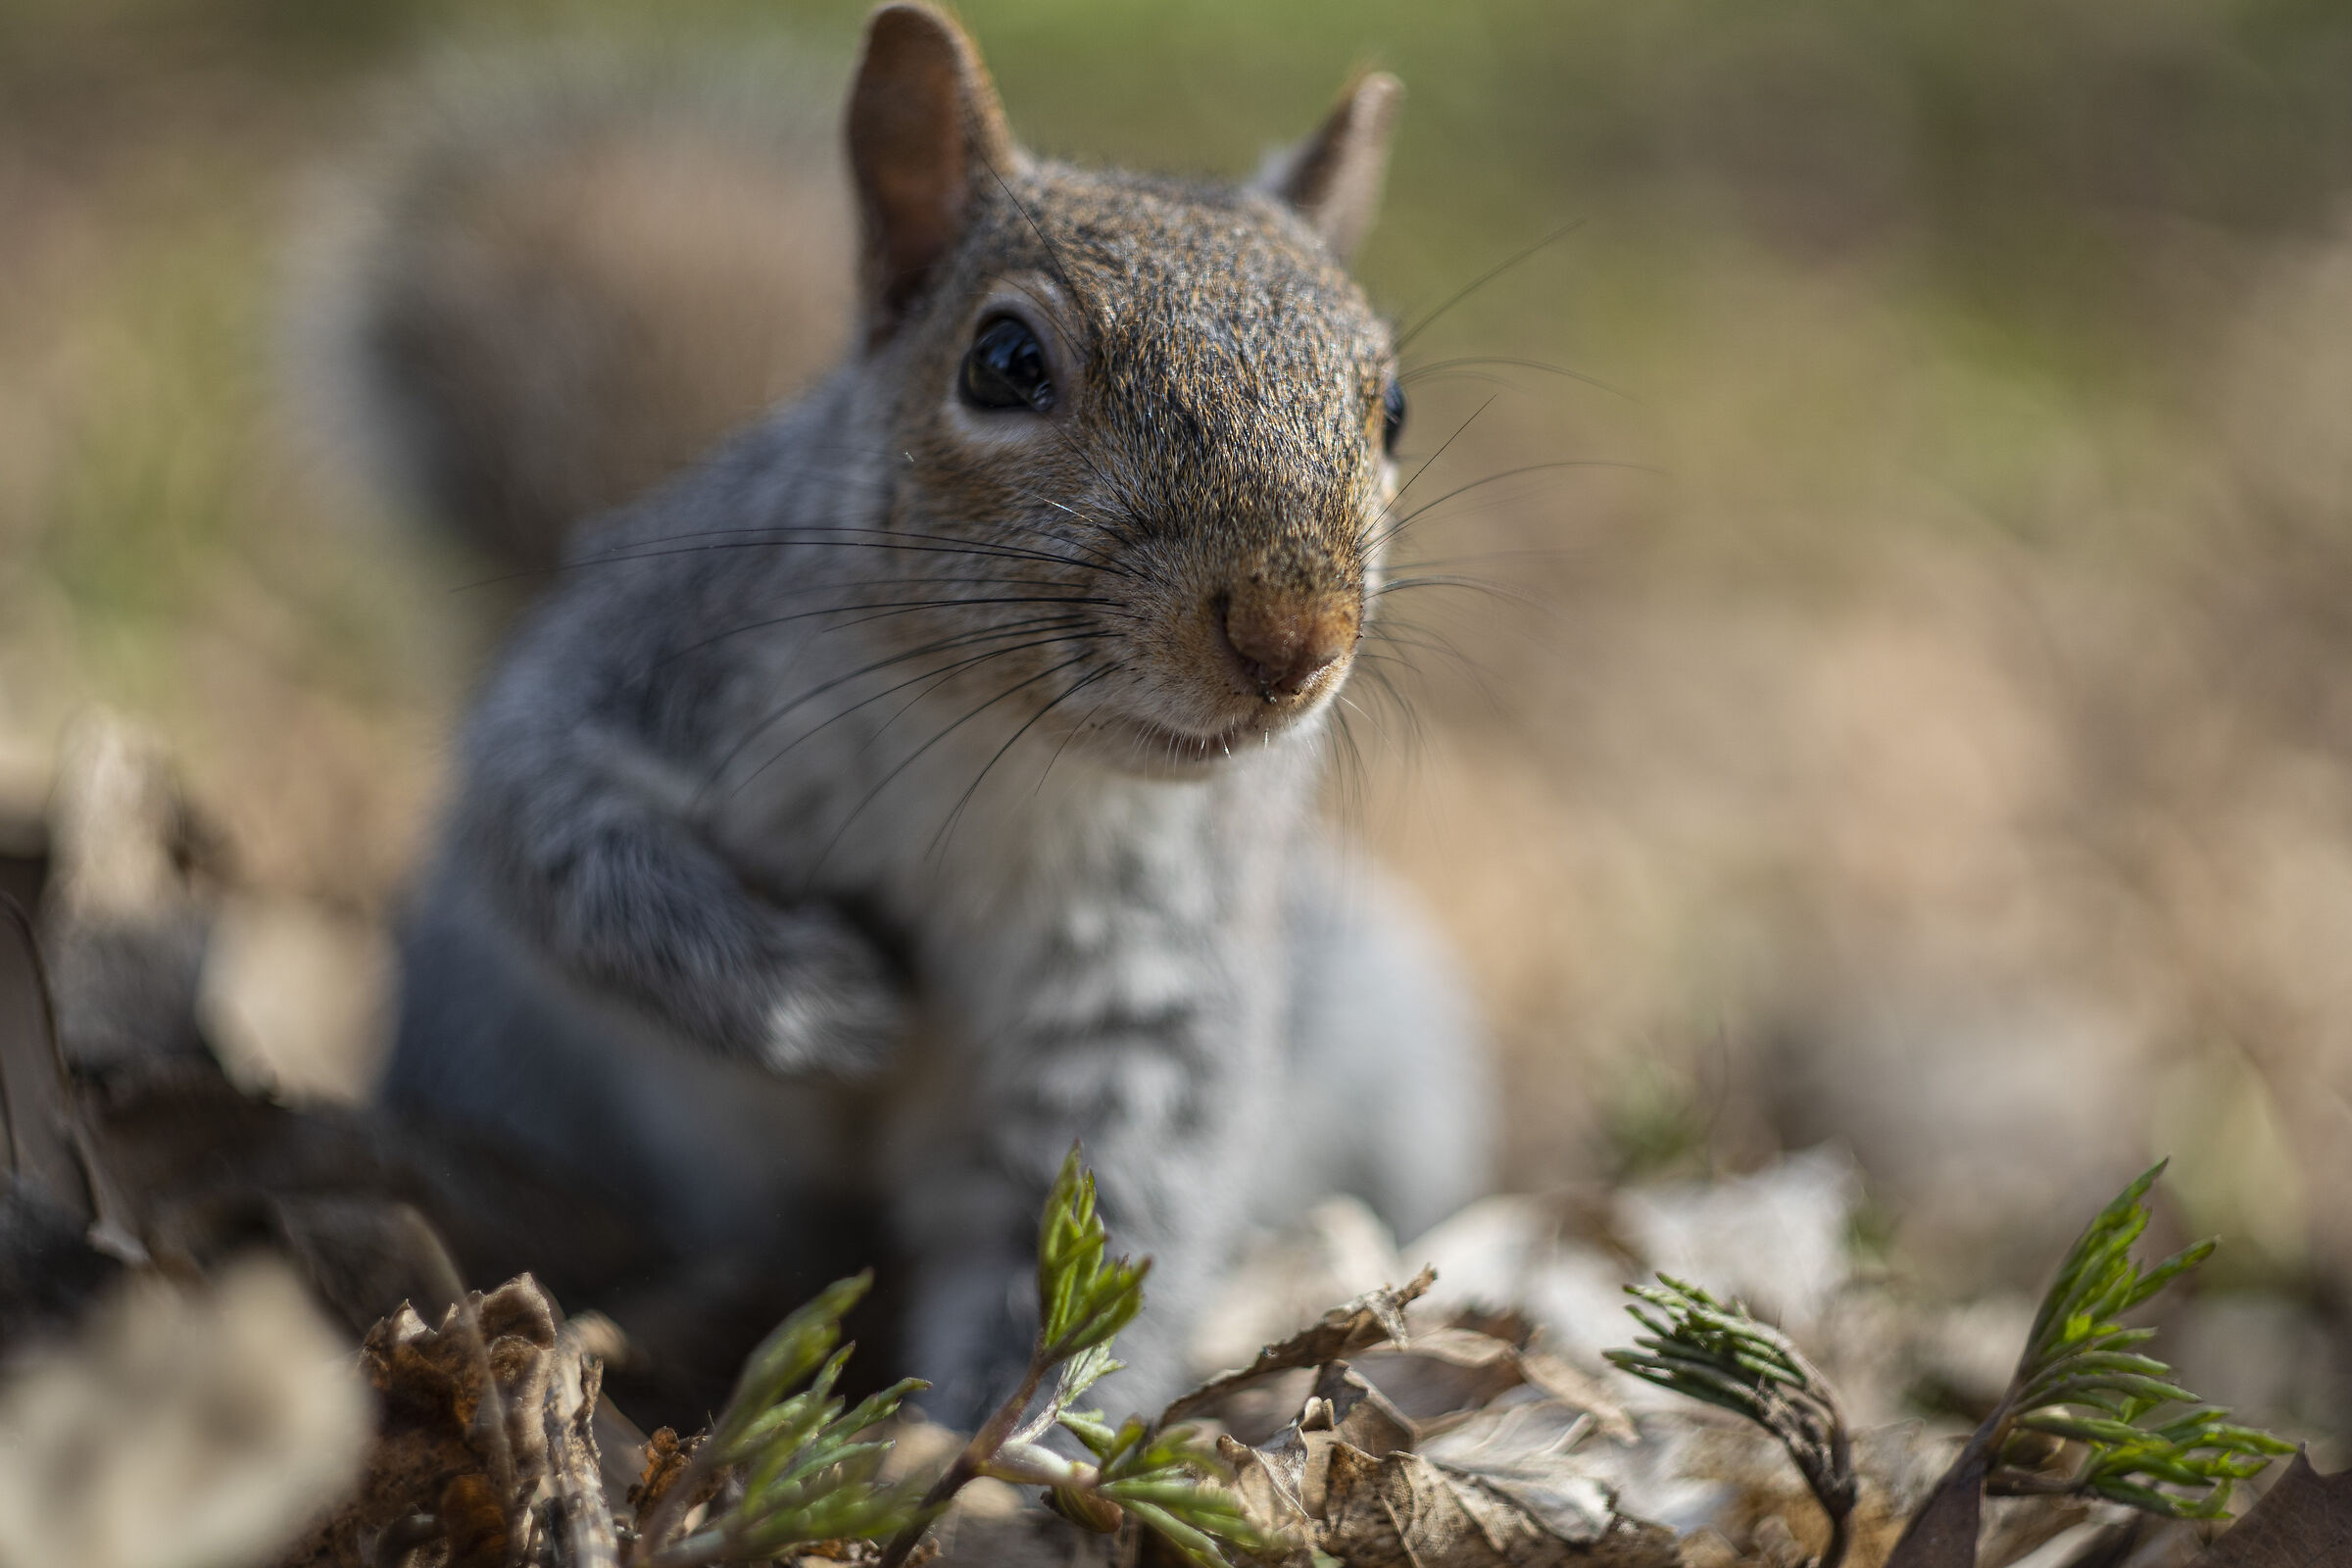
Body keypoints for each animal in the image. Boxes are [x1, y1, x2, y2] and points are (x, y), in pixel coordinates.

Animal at [333, 4, 1492, 1427]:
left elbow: (1077, 1221)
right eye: (1004, 362)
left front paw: (996, 1445)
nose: (1293, 638)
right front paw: (824, 1003)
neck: (996, 741)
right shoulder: (630, 679)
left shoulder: (1136, 982)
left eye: (1393, 407)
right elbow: (569, 851)